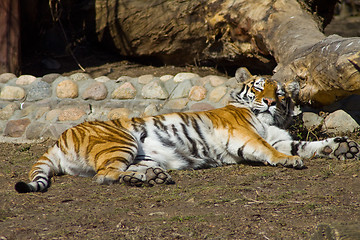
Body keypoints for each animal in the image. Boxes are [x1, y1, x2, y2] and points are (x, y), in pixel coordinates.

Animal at [14, 68, 360, 192]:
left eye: (282, 93)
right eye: (260, 87)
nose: (271, 102)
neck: (272, 121)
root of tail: (60, 138)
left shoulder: (282, 137)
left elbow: (307, 145)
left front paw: (343, 147)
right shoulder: (246, 135)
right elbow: (269, 150)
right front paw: (289, 161)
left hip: (142, 155)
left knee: (118, 171)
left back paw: (151, 178)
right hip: (122, 140)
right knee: (104, 176)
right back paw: (144, 181)